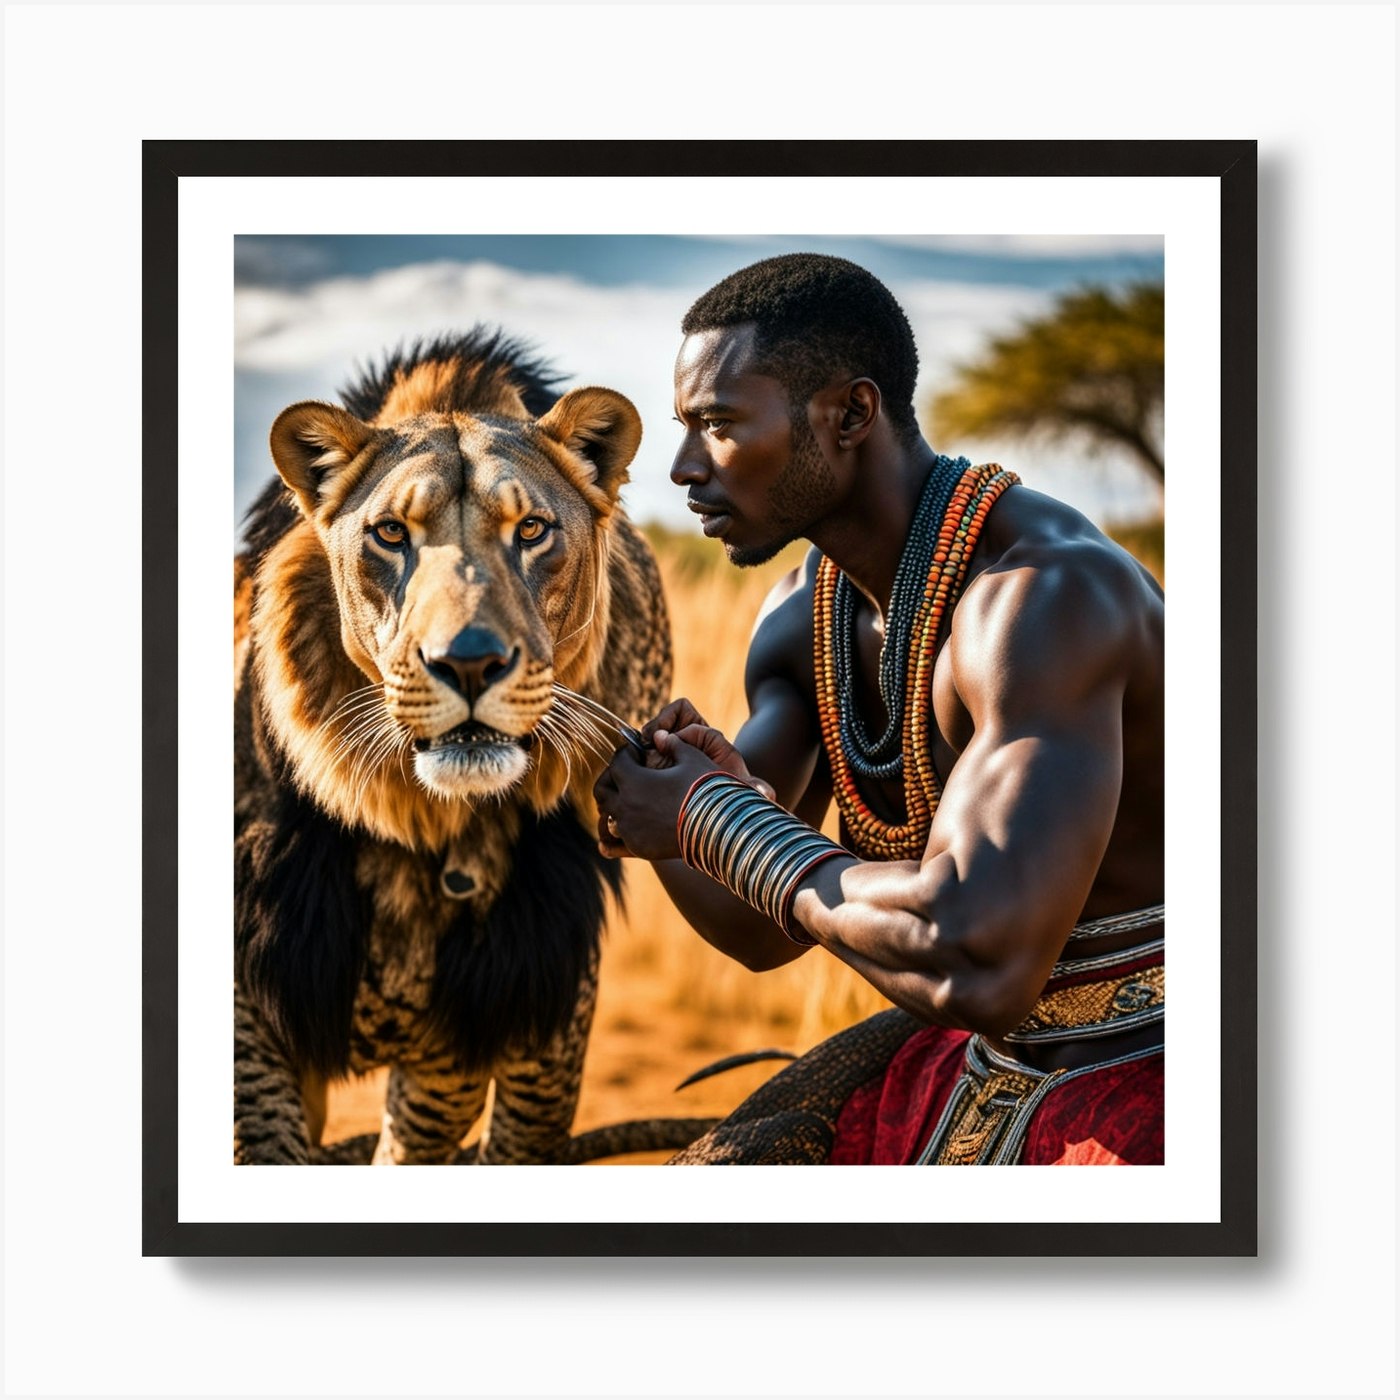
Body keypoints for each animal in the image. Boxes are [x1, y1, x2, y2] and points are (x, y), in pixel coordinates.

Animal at [234, 329, 671, 1165]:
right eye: (391, 534)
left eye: (530, 531)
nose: (468, 662)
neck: (420, 822)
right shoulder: (253, 1003)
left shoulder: (484, 1027)